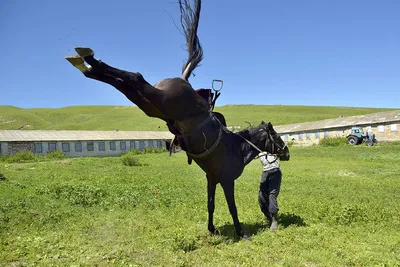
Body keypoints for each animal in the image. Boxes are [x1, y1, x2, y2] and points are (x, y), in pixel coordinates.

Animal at [65, 0, 290, 241]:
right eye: (277, 136)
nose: (286, 153)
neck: (237, 147)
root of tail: (183, 80)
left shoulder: (212, 178)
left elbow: (210, 204)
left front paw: (212, 229)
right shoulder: (227, 180)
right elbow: (232, 207)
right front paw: (242, 233)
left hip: (150, 106)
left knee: (125, 83)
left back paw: (85, 63)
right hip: (160, 102)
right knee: (135, 77)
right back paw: (88, 58)